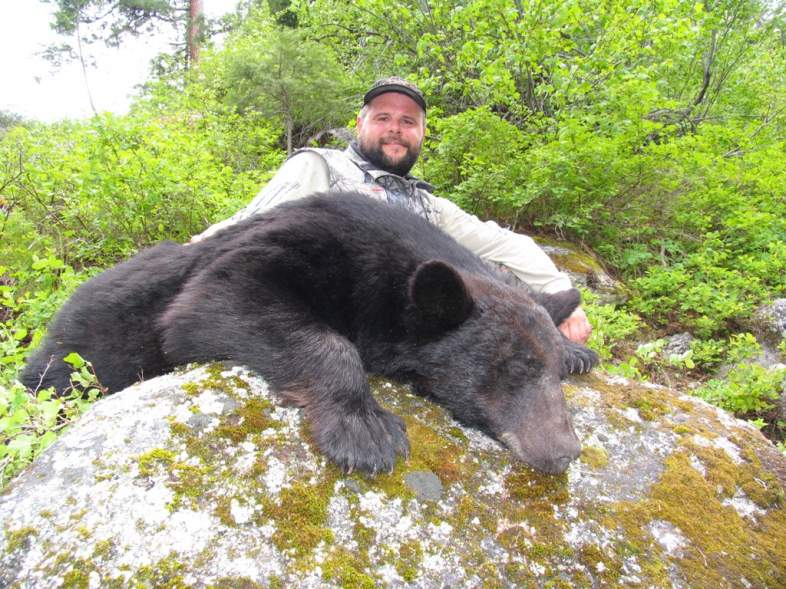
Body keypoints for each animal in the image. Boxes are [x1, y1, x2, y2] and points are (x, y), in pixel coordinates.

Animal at [23, 192, 596, 474]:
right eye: (513, 369)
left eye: (551, 373)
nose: (565, 451)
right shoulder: (291, 247)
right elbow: (211, 303)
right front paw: (365, 429)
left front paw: (577, 347)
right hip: (73, 357)